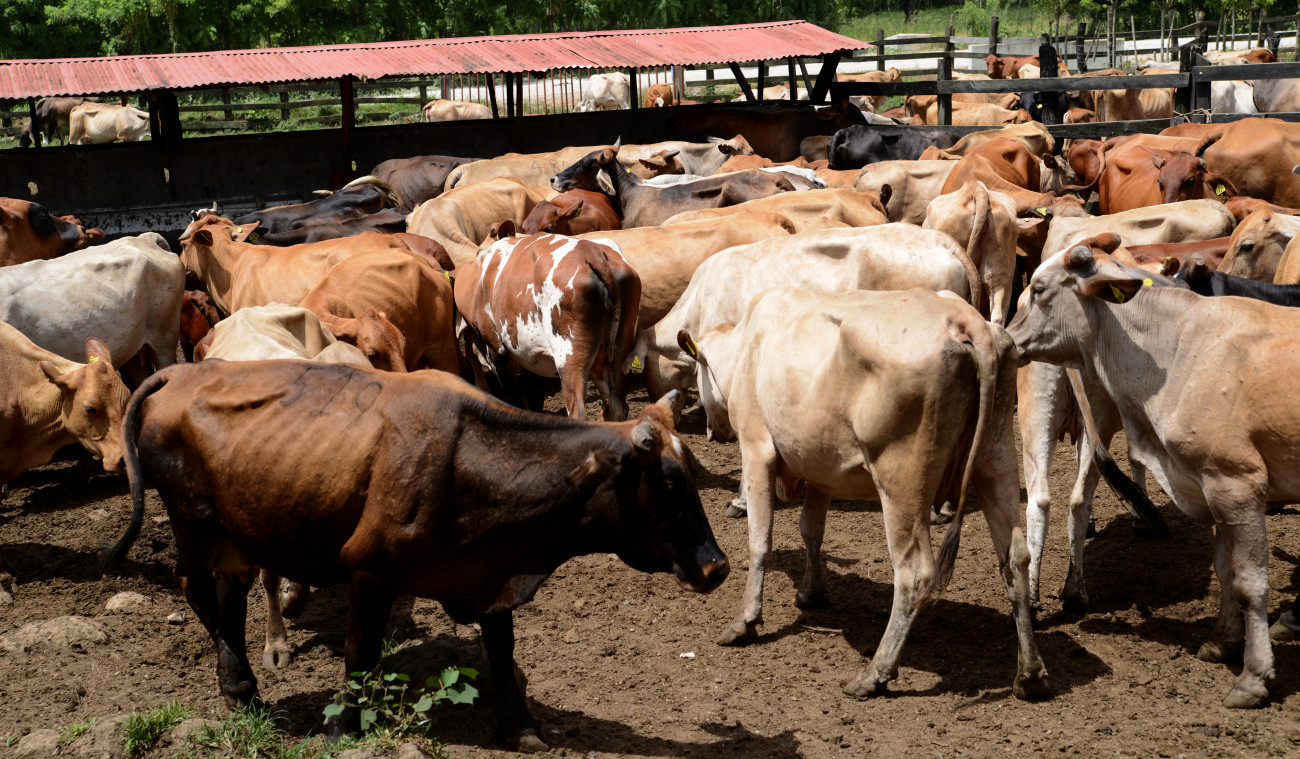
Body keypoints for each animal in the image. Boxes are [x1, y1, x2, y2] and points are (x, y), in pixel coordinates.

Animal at [118, 363, 726, 746]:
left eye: (690, 473)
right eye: (669, 484)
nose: (717, 566)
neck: (472, 460)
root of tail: (185, 370)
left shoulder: (490, 572)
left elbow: (501, 654)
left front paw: (520, 727)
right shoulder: (370, 571)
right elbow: (360, 654)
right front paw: (342, 728)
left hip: (238, 530)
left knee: (230, 594)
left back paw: (239, 687)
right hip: (194, 524)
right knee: (196, 589)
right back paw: (241, 684)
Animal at [680, 286, 1048, 701]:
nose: (710, 429)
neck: (747, 343)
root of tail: (962, 316)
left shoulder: (757, 448)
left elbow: (760, 541)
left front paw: (745, 621)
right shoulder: (820, 466)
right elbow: (811, 529)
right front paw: (811, 593)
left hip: (901, 480)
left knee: (914, 573)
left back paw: (876, 673)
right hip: (996, 459)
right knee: (1015, 557)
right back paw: (1030, 674)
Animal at [1008, 232, 1300, 709]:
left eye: (1038, 288)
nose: (1006, 337)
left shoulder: (1227, 485)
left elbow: (1240, 576)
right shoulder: (1223, 482)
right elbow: (1240, 577)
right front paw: (1242, 662)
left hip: (1049, 414)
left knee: (1048, 501)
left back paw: (1048, 598)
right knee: (1065, 499)